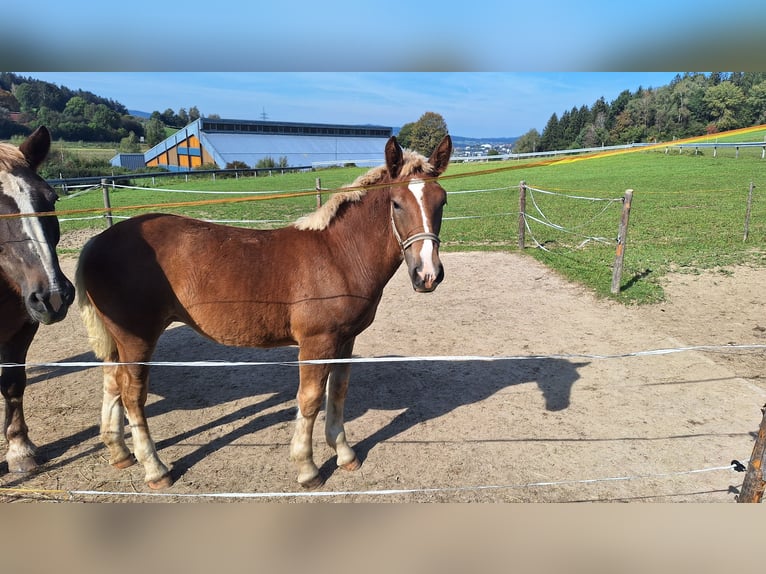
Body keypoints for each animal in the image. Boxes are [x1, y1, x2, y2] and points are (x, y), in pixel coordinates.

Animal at [78, 135, 452, 490]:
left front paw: (345, 454)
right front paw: (307, 469)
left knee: (112, 383)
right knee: (132, 395)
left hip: (118, 339)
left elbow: (338, 392)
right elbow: (310, 399)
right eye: (396, 203)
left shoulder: (345, 339)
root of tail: (96, 242)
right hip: (137, 338)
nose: (427, 275)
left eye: (442, 201)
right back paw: (155, 469)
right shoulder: (316, 343)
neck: (339, 254)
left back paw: (120, 453)